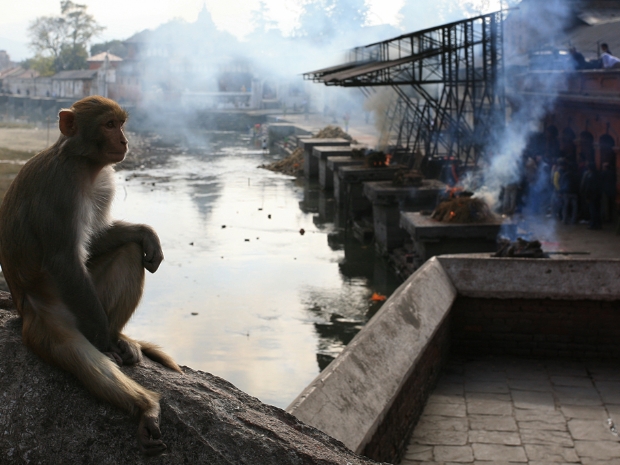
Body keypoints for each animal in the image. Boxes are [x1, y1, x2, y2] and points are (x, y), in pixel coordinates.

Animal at [0, 94, 183, 454]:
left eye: (121, 124)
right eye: (109, 125)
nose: (125, 141)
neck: (83, 164)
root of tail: (21, 311)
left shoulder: (103, 183)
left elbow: (96, 238)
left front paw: (146, 233)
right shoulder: (59, 189)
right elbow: (64, 260)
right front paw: (102, 341)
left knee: (129, 253)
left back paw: (119, 338)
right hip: (53, 317)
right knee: (83, 358)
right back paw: (143, 403)